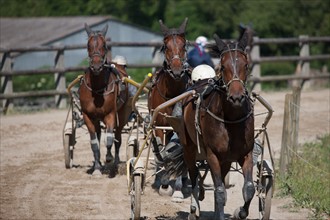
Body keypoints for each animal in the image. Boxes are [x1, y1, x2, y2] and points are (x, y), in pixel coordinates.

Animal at [79, 23, 130, 177]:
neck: (97, 89)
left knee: (117, 137)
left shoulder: (111, 114)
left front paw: (109, 158)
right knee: (99, 134)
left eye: (104, 45)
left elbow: (109, 140)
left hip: (123, 114)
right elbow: (94, 142)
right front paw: (97, 167)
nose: (96, 66)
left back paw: (115, 162)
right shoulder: (88, 116)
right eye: (88, 45)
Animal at [179, 30, 254, 218]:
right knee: (193, 175)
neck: (232, 121)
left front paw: (241, 212)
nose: (236, 97)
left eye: (245, 65)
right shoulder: (212, 155)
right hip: (189, 147)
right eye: (223, 66)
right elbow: (219, 191)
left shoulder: (246, 153)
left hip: (225, 159)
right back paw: (194, 208)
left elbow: (249, 188)